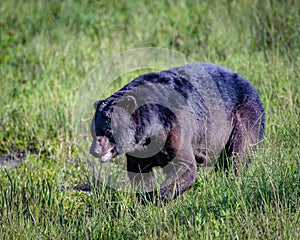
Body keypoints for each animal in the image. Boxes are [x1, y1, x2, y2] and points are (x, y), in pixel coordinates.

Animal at [89, 62, 264, 202]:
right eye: (95, 129)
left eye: (108, 130)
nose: (95, 150)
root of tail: (250, 84)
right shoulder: (139, 148)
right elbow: (139, 171)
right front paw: (145, 198)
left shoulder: (175, 127)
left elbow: (184, 165)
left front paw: (158, 198)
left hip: (245, 114)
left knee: (238, 153)